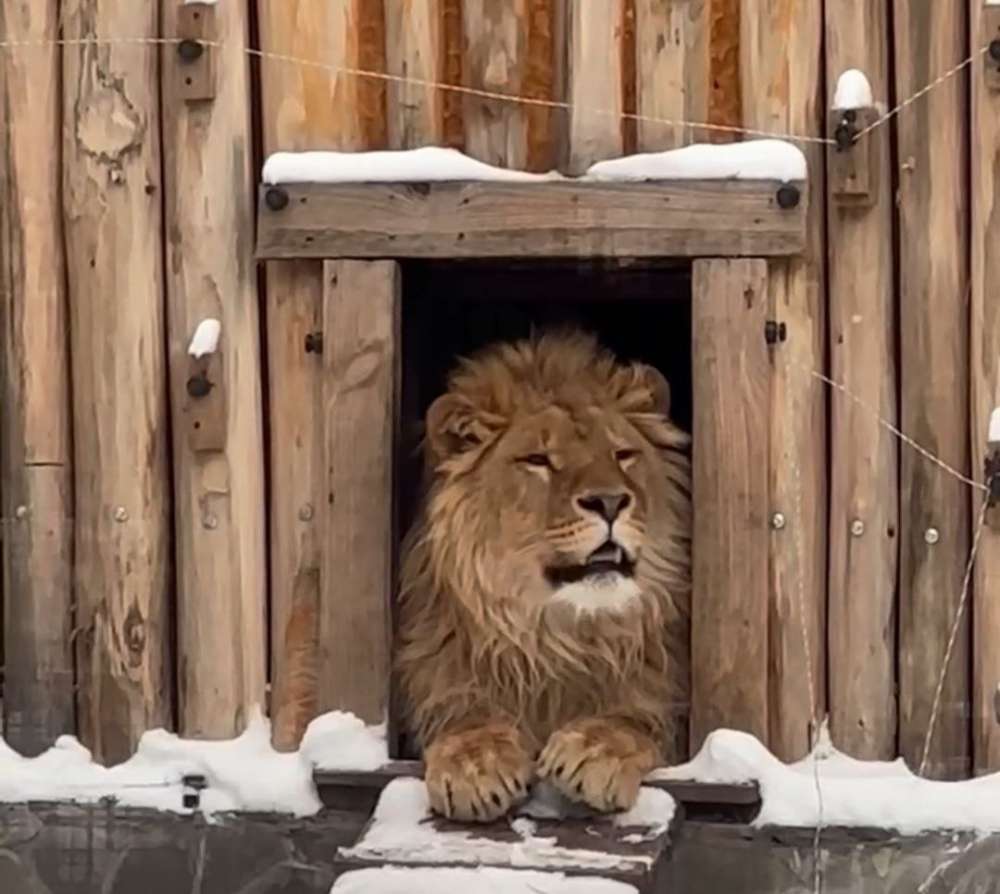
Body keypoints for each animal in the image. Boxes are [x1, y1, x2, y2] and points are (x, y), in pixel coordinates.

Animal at [395, 329, 691, 823]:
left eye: (623, 455)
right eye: (537, 459)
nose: (610, 501)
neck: (556, 635)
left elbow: (632, 720)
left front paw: (593, 753)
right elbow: (464, 717)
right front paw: (475, 765)